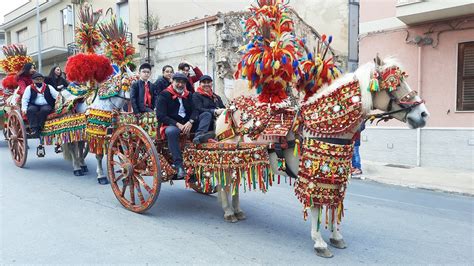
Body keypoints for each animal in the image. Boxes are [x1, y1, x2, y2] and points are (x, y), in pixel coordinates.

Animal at [215, 55, 430, 256]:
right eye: (395, 83)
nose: (423, 115)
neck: (322, 125)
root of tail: (225, 110)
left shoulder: (337, 176)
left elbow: (334, 206)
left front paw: (336, 236)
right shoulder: (313, 176)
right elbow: (316, 207)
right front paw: (319, 242)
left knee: (233, 183)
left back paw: (237, 210)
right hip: (226, 155)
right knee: (225, 184)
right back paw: (228, 211)